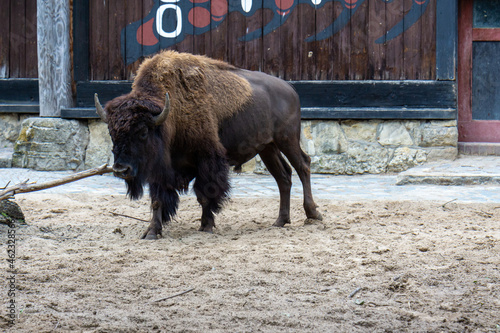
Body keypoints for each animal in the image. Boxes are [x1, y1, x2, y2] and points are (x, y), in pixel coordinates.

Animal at [95, 50, 322, 239]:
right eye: (111, 132)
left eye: (142, 132)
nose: (121, 169)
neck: (169, 116)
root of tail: (290, 89)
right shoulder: (159, 170)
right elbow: (157, 200)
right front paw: (151, 232)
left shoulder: (206, 159)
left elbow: (205, 194)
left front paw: (206, 226)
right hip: (268, 147)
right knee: (283, 176)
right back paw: (280, 221)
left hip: (287, 139)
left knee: (303, 165)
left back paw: (313, 214)